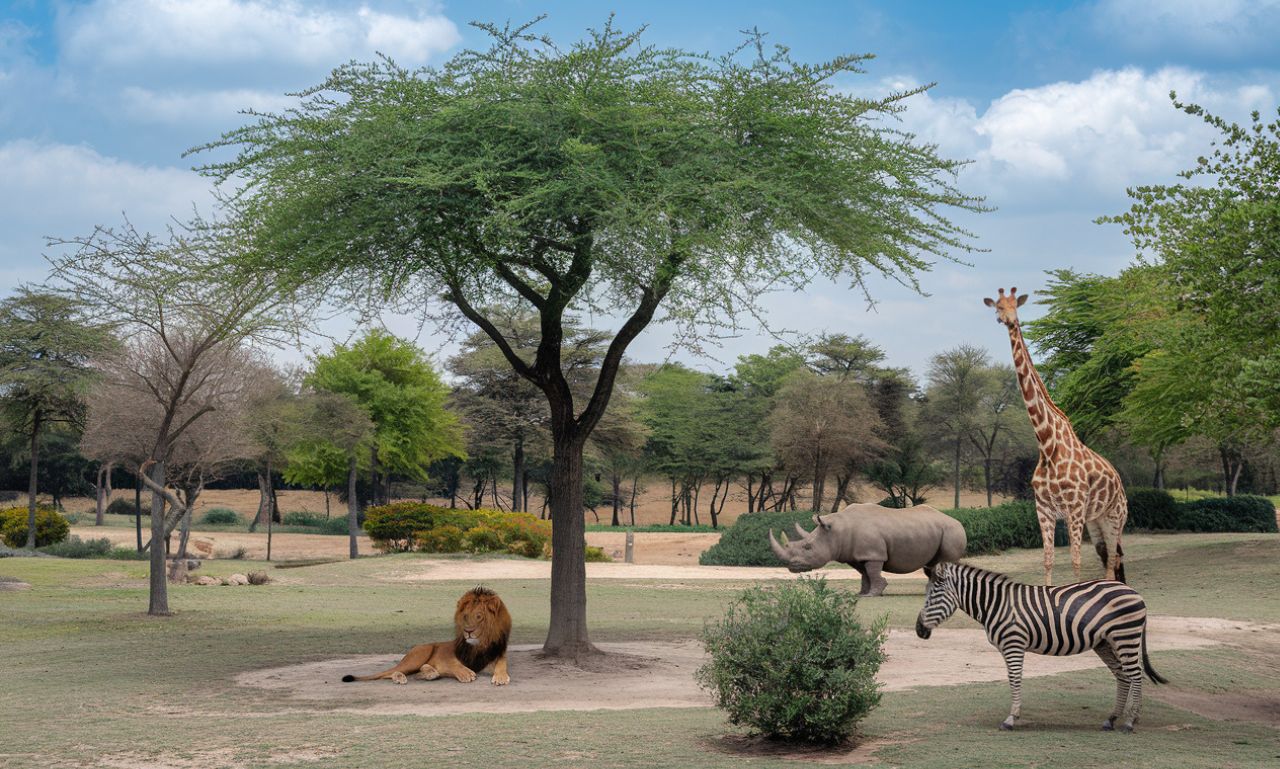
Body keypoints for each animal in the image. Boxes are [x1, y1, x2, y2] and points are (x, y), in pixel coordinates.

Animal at [348, 586, 517, 685]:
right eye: (465, 616)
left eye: (479, 616)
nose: (468, 631)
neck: (479, 645)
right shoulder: (450, 655)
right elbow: (454, 663)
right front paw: (466, 673)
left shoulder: (497, 656)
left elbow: (501, 664)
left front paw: (501, 677)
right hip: (420, 653)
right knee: (390, 672)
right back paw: (401, 677)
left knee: (419, 672)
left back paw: (429, 673)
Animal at [911, 560, 1172, 726]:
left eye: (932, 595)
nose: (919, 630)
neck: (996, 604)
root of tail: (1134, 591)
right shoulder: (1010, 646)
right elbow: (1013, 678)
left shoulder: (1014, 643)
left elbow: (1014, 678)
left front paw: (1011, 719)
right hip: (1105, 642)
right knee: (1123, 676)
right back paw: (1112, 719)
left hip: (1125, 636)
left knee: (1135, 674)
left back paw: (1130, 721)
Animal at [983, 286, 1126, 580]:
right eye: (998, 306)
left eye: (1015, 306)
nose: (1008, 320)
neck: (1048, 445)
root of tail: (1119, 481)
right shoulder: (1044, 509)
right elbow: (1048, 560)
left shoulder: (1074, 508)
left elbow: (1075, 561)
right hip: (1096, 520)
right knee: (1108, 557)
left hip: (1115, 517)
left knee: (1113, 560)